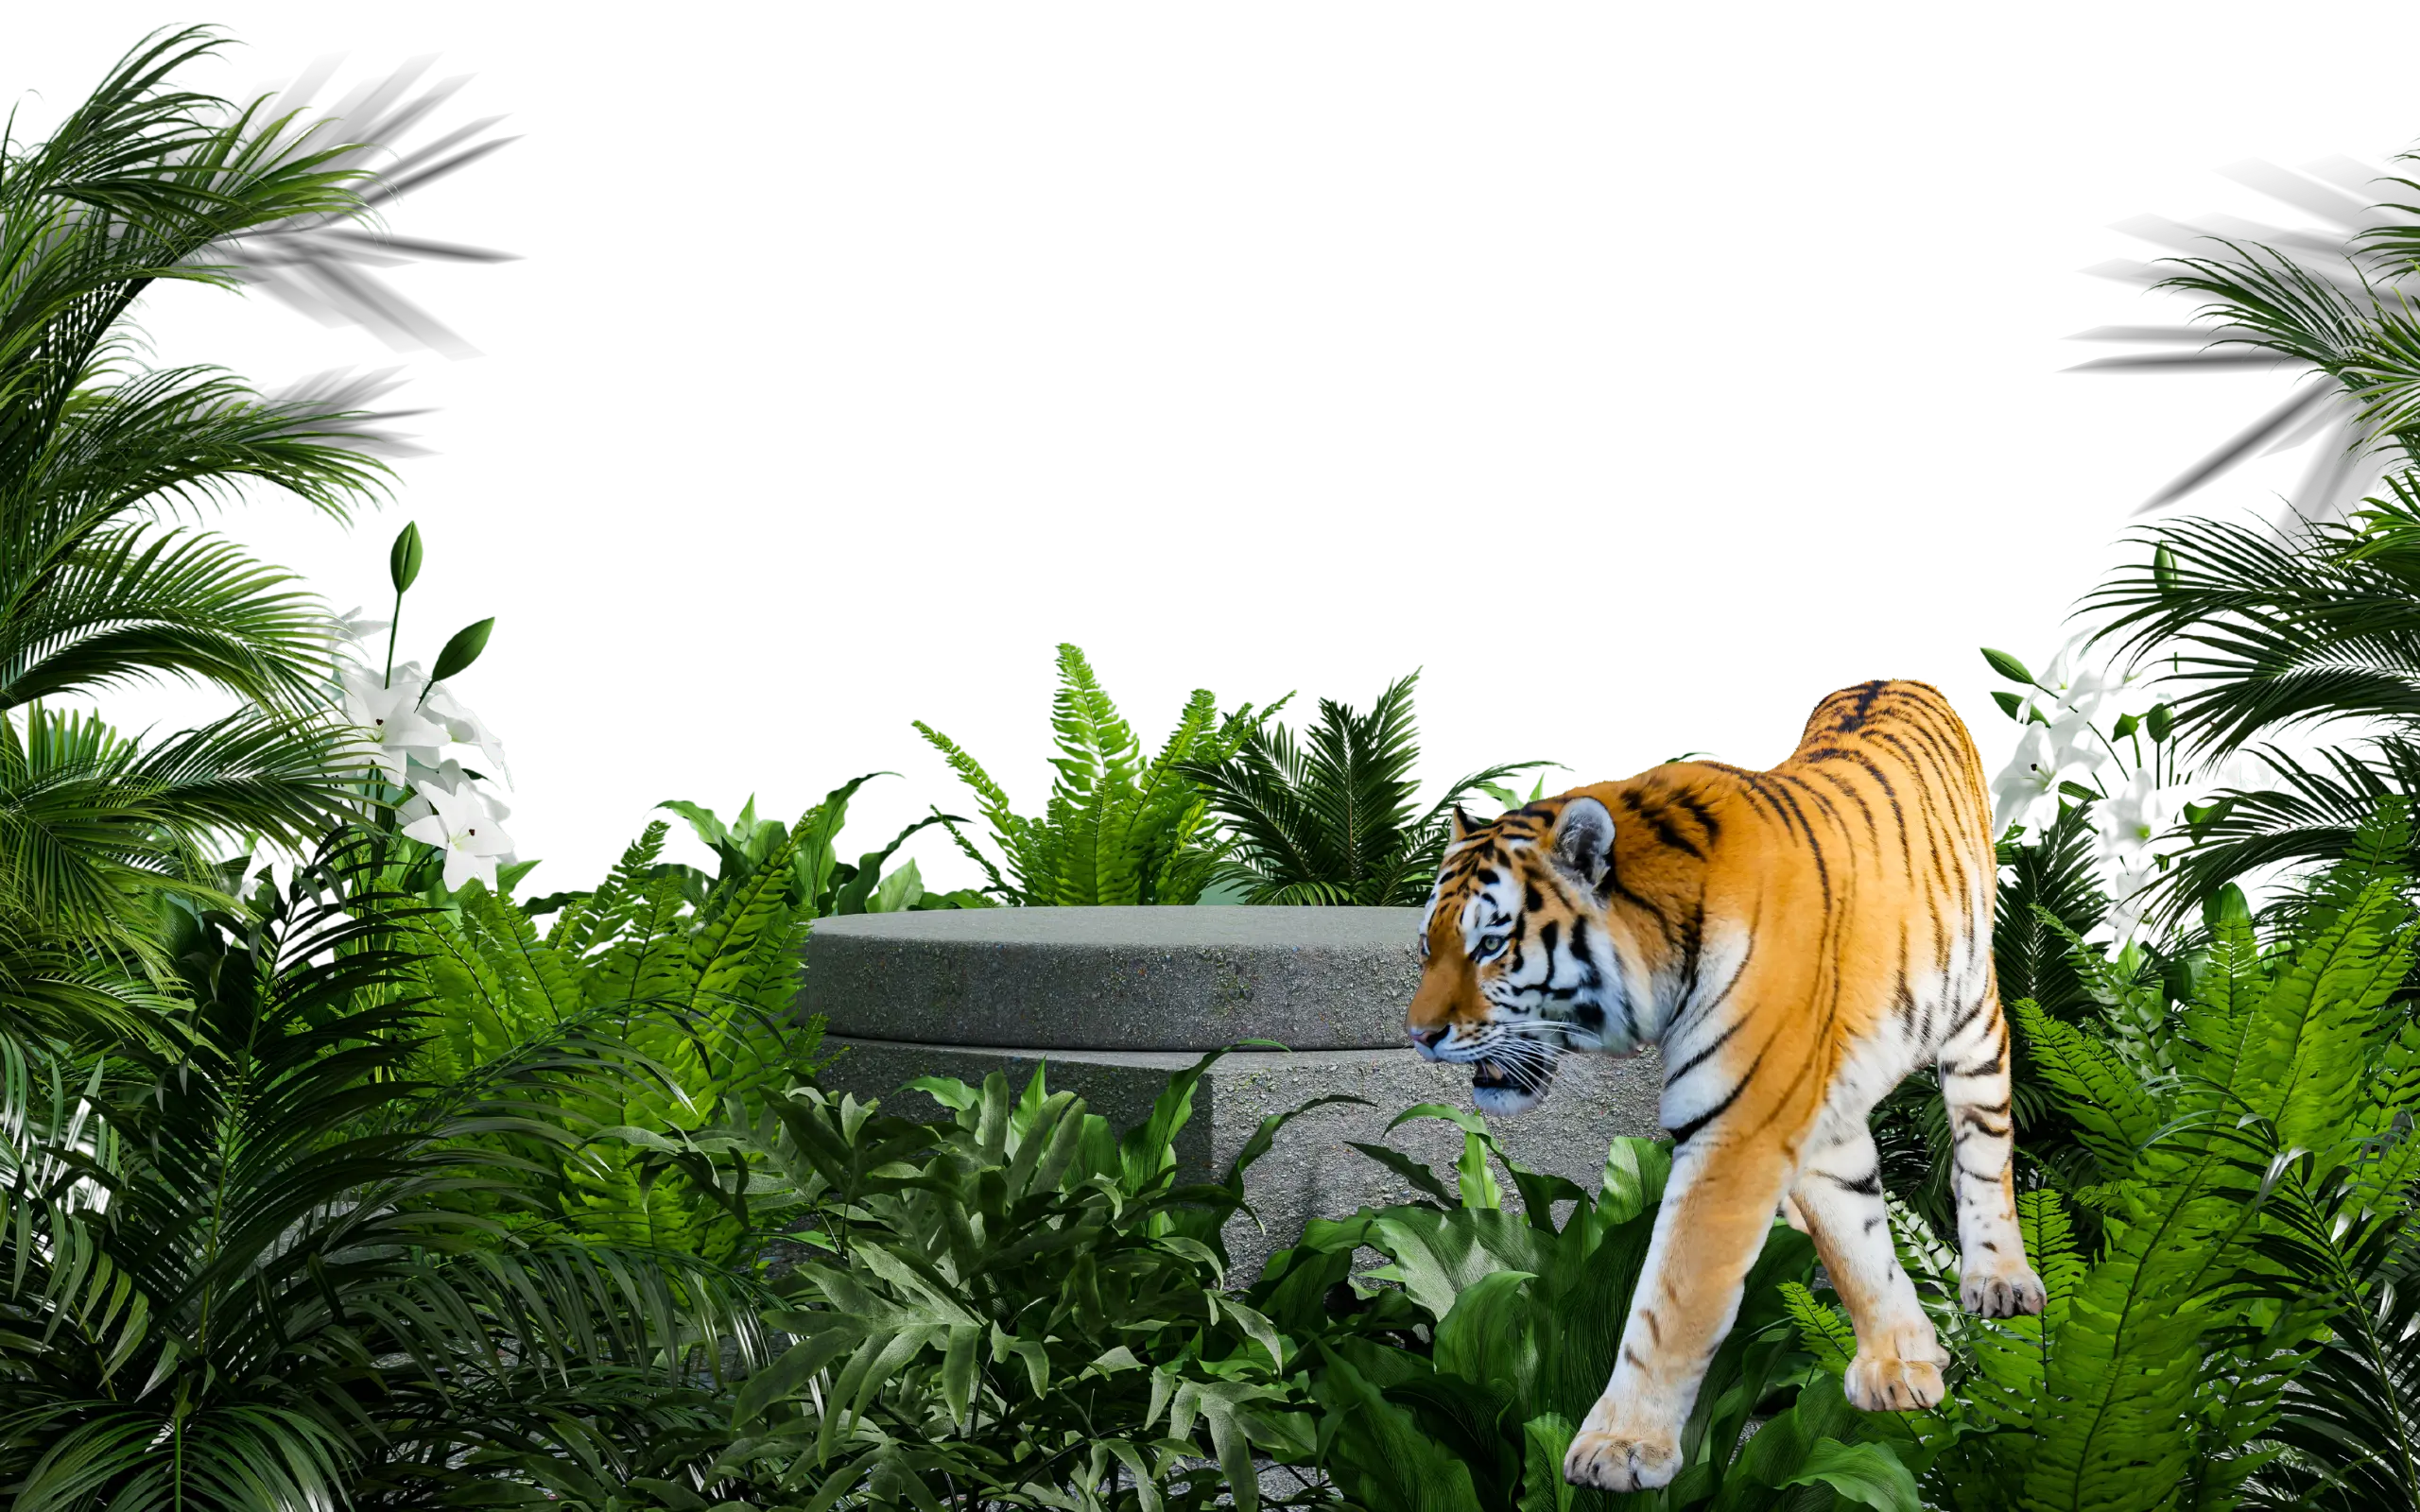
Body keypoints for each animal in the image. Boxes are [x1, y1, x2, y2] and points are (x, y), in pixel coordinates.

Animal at [1404, 674, 2046, 1493]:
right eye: (1429, 946)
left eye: (1490, 945)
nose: (1418, 1036)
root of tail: (1894, 678)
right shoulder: (1806, 1115)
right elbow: (1856, 1238)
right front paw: (1902, 1363)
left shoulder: (1739, 1131)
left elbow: (1672, 1299)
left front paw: (1620, 1448)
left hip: (1972, 1017)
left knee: (1985, 1148)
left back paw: (2001, 1280)